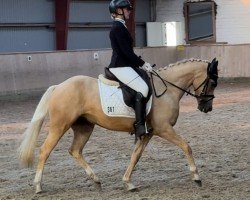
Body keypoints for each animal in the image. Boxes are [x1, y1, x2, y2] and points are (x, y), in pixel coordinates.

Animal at [18, 57, 219, 192]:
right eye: (213, 82)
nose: (207, 108)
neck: (167, 89)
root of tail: (58, 86)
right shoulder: (164, 129)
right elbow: (186, 146)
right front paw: (196, 176)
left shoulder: (148, 133)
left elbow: (135, 156)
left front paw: (128, 182)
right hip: (60, 126)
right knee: (45, 150)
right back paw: (38, 186)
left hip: (84, 127)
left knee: (75, 150)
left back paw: (96, 180)